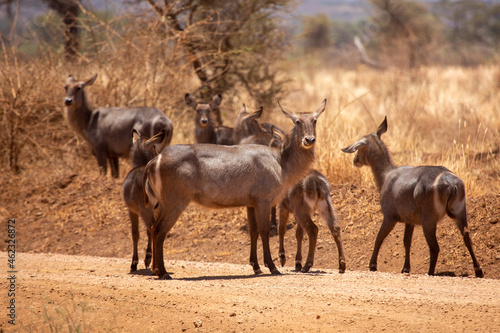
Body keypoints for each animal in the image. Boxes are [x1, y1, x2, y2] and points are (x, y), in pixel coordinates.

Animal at [122, 128, 170, 272]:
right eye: (154, 146)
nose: (158, 153)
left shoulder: (132, 210)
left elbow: (135, 234)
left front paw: (134, 263)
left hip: (145, 210)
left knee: (152, 229)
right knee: (157, 230)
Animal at [144, 98, 328, 278]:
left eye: (315, 120)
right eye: (297, 121)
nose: (309, 140)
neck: (281, 161)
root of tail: (155, 160)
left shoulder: (250, 203)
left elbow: (253, 231)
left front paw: (256, 267)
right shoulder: (263, 200)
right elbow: (264, 231)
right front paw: (272, 267)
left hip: (162, 203)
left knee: (153, 228)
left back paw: (156, 270)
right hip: (175, 201)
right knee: (160, 230)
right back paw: (163, 272)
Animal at [342, 116, 482, 278]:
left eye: (359, 147)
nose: (355, 160)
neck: (385, 176)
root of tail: (452, 184)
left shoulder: (389, 216)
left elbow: (379, 238)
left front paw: (372, 265)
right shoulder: (410, 221)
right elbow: (406, 242)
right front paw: (405, 269)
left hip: (429, 219)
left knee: (435, 247)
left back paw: (430, 272)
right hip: (460, 212)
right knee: (467, 237)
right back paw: (478, 271)